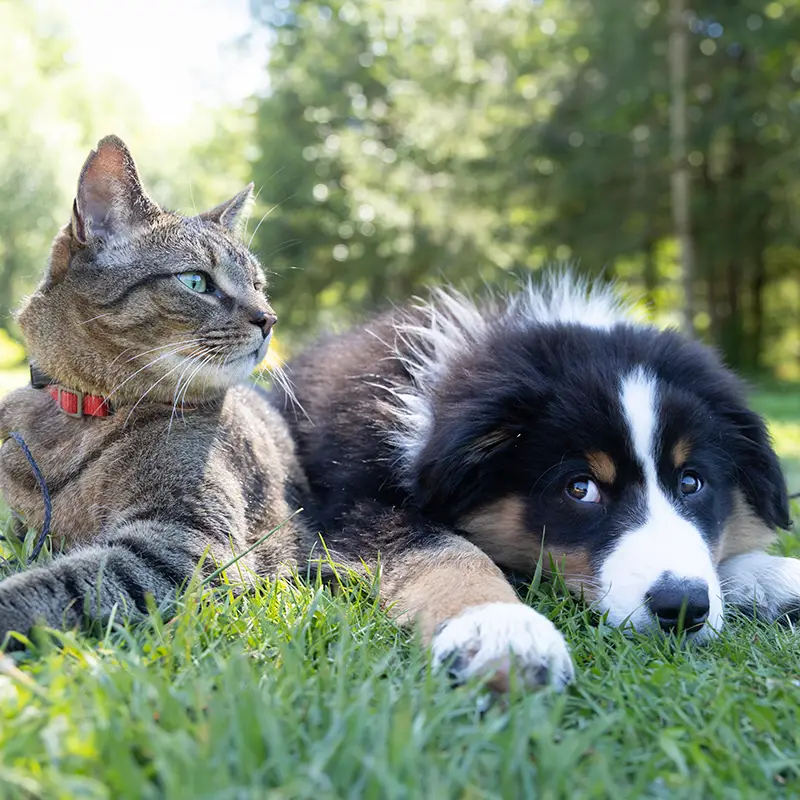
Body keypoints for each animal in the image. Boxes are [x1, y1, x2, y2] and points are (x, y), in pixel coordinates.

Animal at [0, 134, 310, 640]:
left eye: (259, 285)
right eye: (196, 281)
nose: (269, 319)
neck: (81, 414)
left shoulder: (184, 544)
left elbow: (58, 583)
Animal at [276, 272, 792, 692]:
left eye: (691, 483)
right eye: (580, 488)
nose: (682, 607)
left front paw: (773, 575)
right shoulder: (355, 505)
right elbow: (446, 551)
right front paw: (500, 629)